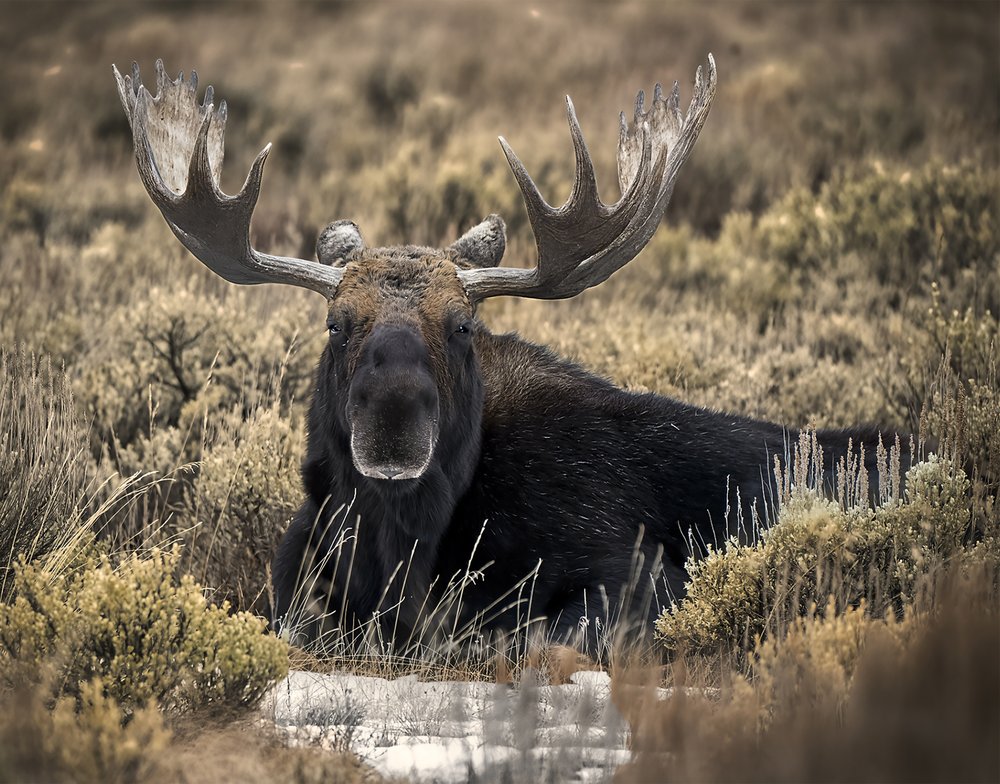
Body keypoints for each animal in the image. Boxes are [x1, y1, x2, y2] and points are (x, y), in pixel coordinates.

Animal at [113, 58, 896, 657]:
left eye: (463, 325)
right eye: (336, 323)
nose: (393, 429)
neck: (409, 533)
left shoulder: (632, 570)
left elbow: (516, 638)